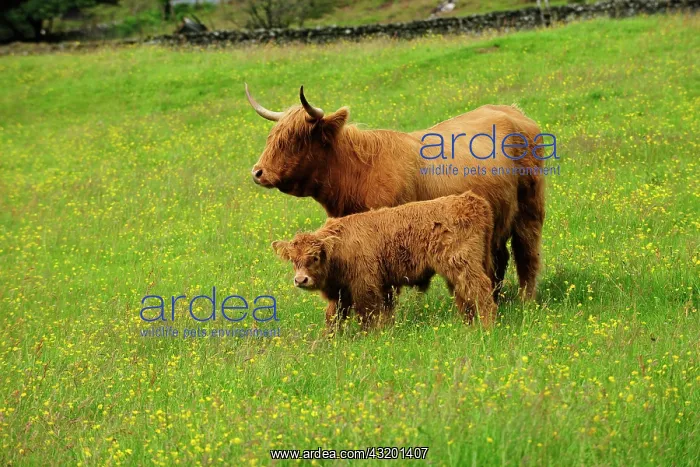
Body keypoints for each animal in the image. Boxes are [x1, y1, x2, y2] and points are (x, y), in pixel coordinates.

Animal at [247, 84, 546, 300]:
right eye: (272, 136)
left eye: (295, 140)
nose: (258, 172)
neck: (358, 175)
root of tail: (512, 112)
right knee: (500, 258)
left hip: (530, 210)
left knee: (527, 253)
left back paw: (525, 300)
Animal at [272, 191, 497, 333]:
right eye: (293, 260)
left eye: (315, 257)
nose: (301, 280)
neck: (340, 245)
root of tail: (470, 200)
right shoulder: (346, 292)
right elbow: (334, 316)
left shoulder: (365, 286)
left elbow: (368, 314)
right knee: (464, 296)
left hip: (463, 265)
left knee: (480, 290)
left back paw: (486, 327)